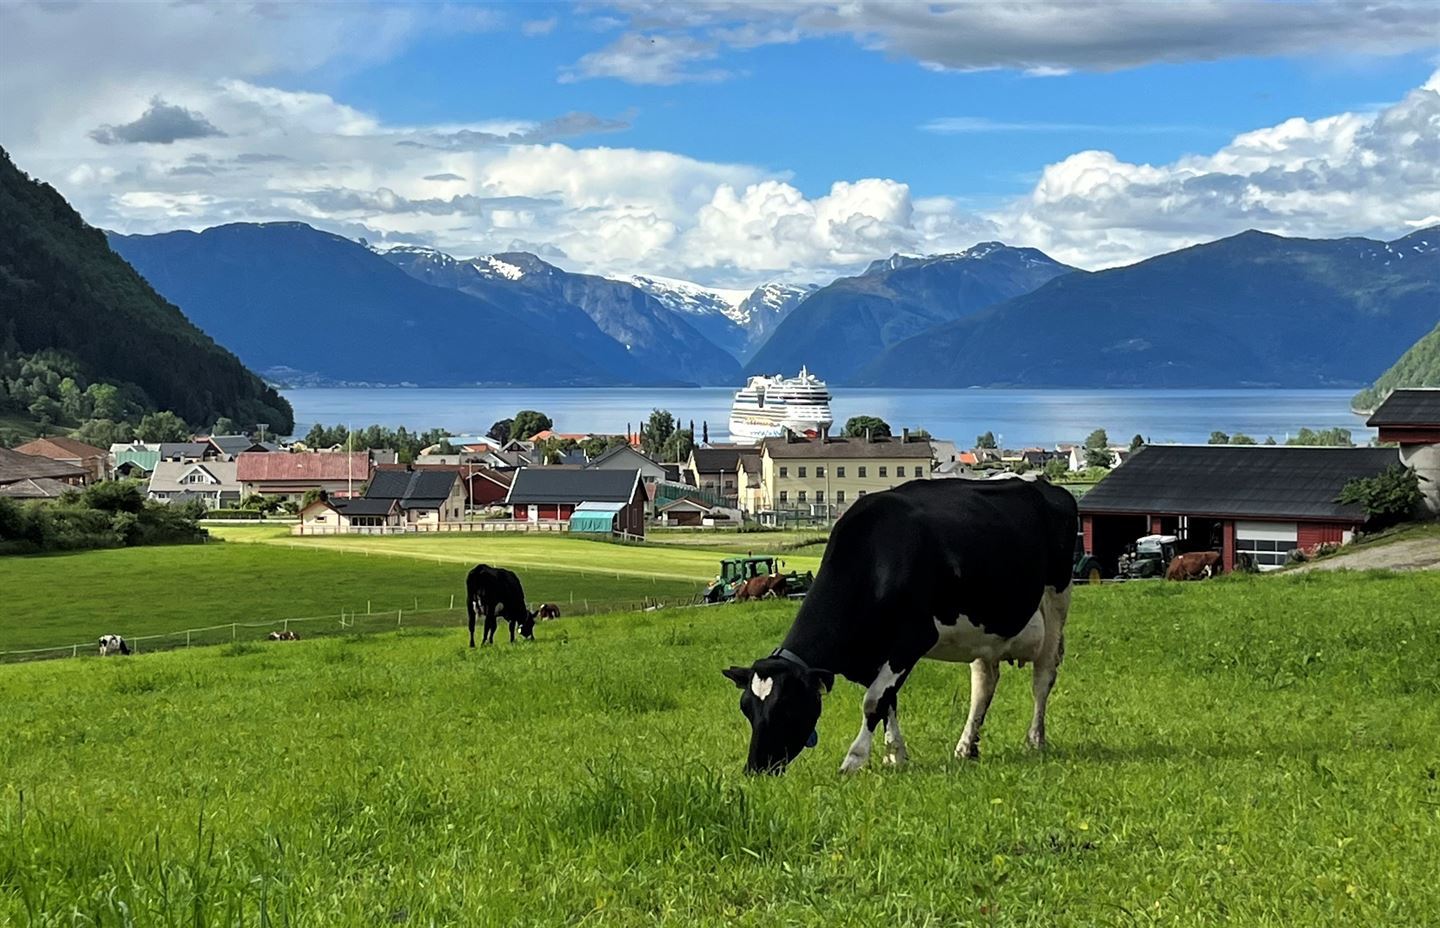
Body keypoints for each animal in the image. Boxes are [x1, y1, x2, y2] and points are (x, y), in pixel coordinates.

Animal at [725, 478, 1077, 778]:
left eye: (786, 708)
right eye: (746, 709)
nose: (754, 769)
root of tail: (1048, 487)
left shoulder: (912, 639)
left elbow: (873, 701)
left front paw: (854, 759)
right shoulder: (874, 653)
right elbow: (887, 700)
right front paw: (895, 754)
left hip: (1057, 599)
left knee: (1042, 676)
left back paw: (1034, 740)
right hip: (985, 633)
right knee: (984, 683)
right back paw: (965, 747)